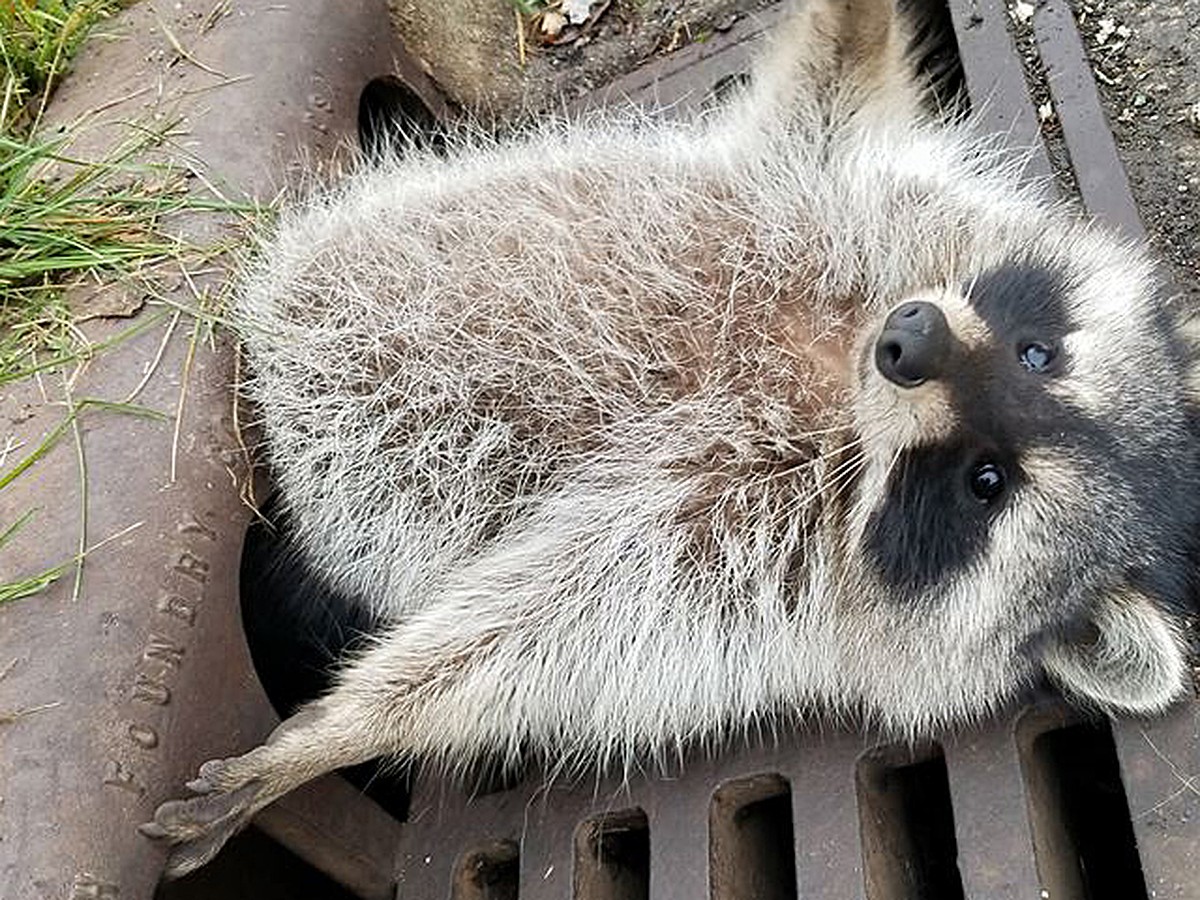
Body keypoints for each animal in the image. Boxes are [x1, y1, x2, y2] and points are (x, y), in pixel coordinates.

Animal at [147, 0, 1200, 883]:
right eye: (1039, 353)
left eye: (987, 482)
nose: (914, 341)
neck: (840, 380)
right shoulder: (833, 194)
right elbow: (820, 103)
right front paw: (854, 15)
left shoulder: (736, 558)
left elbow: (533, 631)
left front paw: (338, 728)